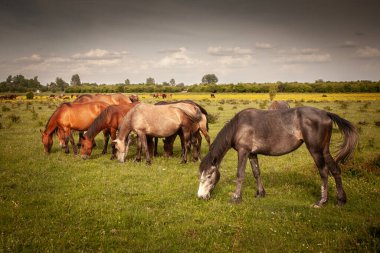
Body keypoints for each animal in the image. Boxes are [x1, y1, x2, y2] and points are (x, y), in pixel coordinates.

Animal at [197, 106, 358, 208]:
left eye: (210, 175)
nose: (200, 197)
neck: (239, 126)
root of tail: (325, 113)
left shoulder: (243, 152)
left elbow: (240, 175)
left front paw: (236, 198)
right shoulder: (252, 154)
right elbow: (256, 173)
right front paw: (260, 193)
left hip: (316, 150)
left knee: (324, 172)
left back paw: (321, 202)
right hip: (324, 150)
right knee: (335, 170)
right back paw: (340, 200)